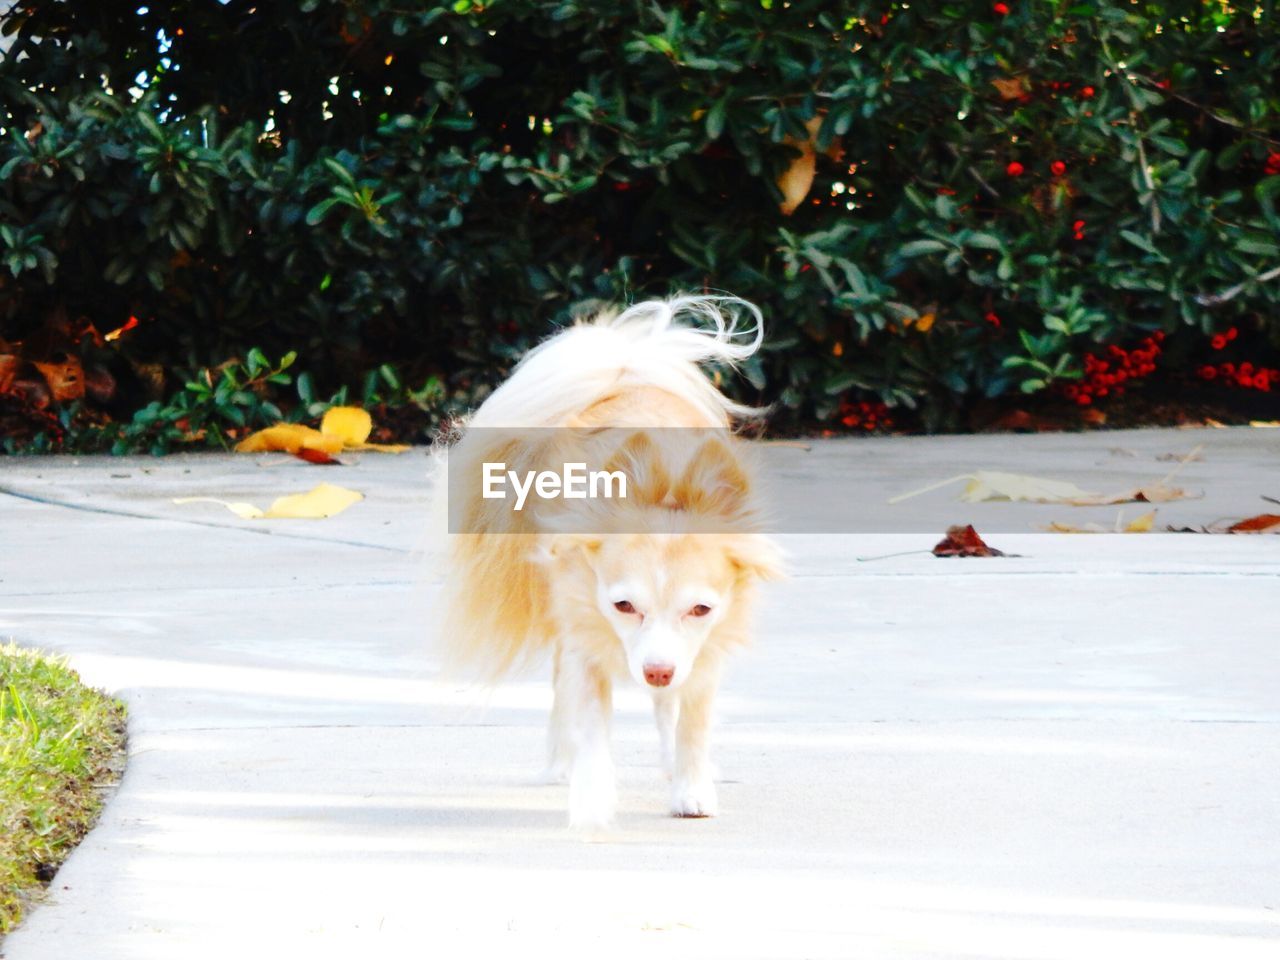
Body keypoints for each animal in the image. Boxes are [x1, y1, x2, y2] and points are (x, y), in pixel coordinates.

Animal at [440, 296, 778, 829]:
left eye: (700, 610)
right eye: (623, 606)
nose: (657, 671)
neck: (664, 482)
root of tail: (624, 369)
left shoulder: (701, 651)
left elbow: (691, 722)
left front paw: (690, 787)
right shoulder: (588, 636)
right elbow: (592, 725)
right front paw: (592, 797)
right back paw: (561, 760)